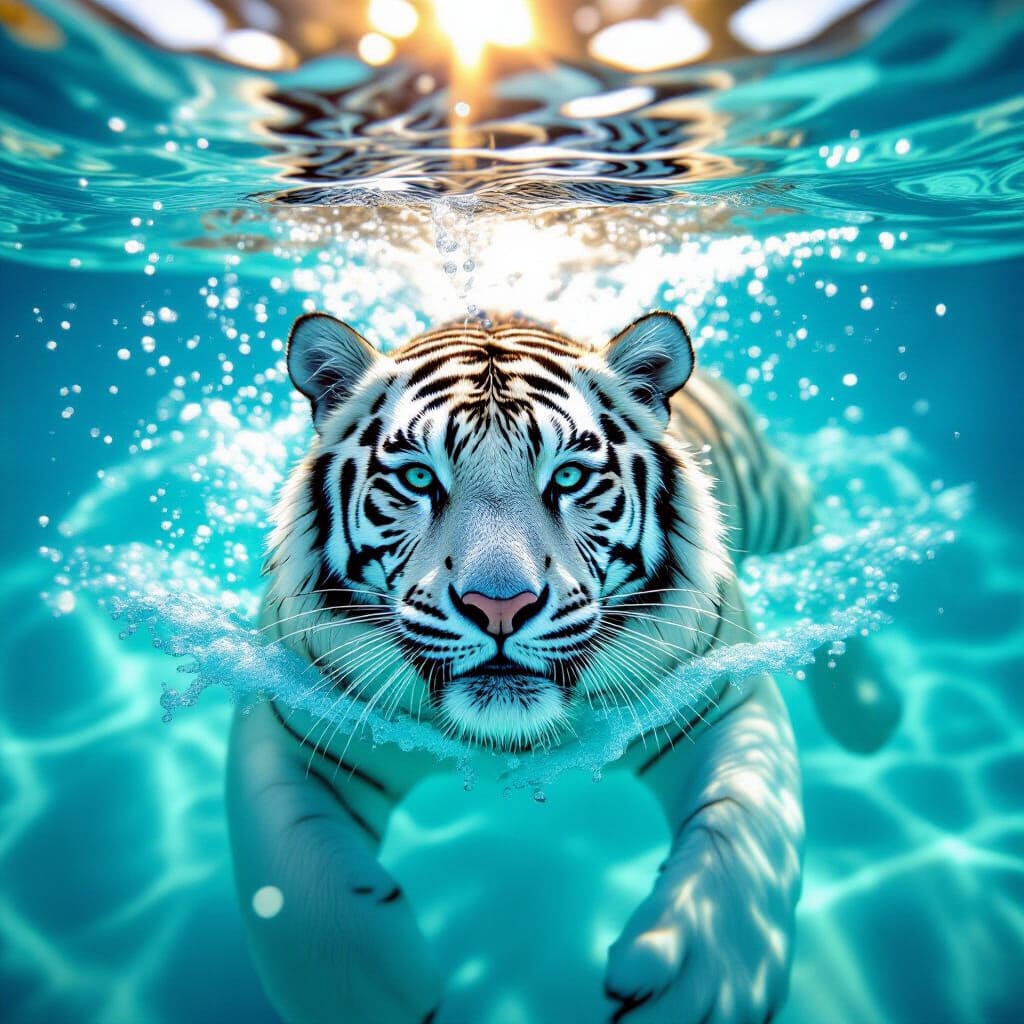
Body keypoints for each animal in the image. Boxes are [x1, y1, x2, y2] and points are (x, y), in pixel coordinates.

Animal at [226, 311, 900, 1024]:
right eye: (418, 480)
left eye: (570, 478)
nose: (500, 605)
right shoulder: (287, 713)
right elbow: (291, 874)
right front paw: (369, 995)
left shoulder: (721, 699)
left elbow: (746, 828)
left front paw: (703, 980)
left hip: (775, 501)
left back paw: (870, 710)